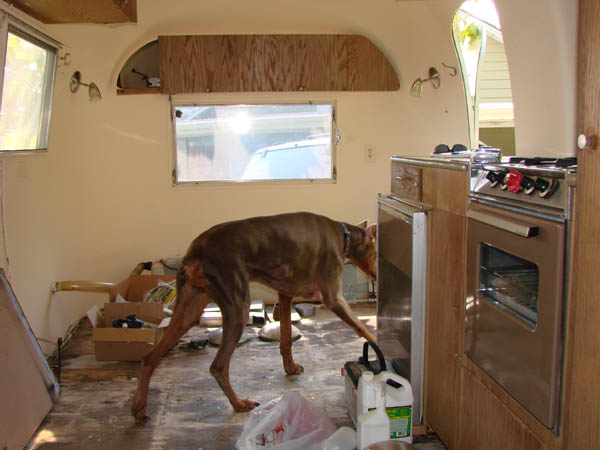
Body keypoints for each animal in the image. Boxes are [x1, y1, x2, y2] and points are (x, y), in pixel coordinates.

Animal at [132, 211, 376, 422]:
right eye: (377, 251)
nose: (377, 275)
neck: (343, 234)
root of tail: (195, 252)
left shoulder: (285, 295)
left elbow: (286, 339)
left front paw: (290, 367)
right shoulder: (333, 298)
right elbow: (364, 330)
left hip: (189, 310)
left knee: (150, 357)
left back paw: (139, 406)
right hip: (237, 305)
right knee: (218, 366)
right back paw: (239, 403)